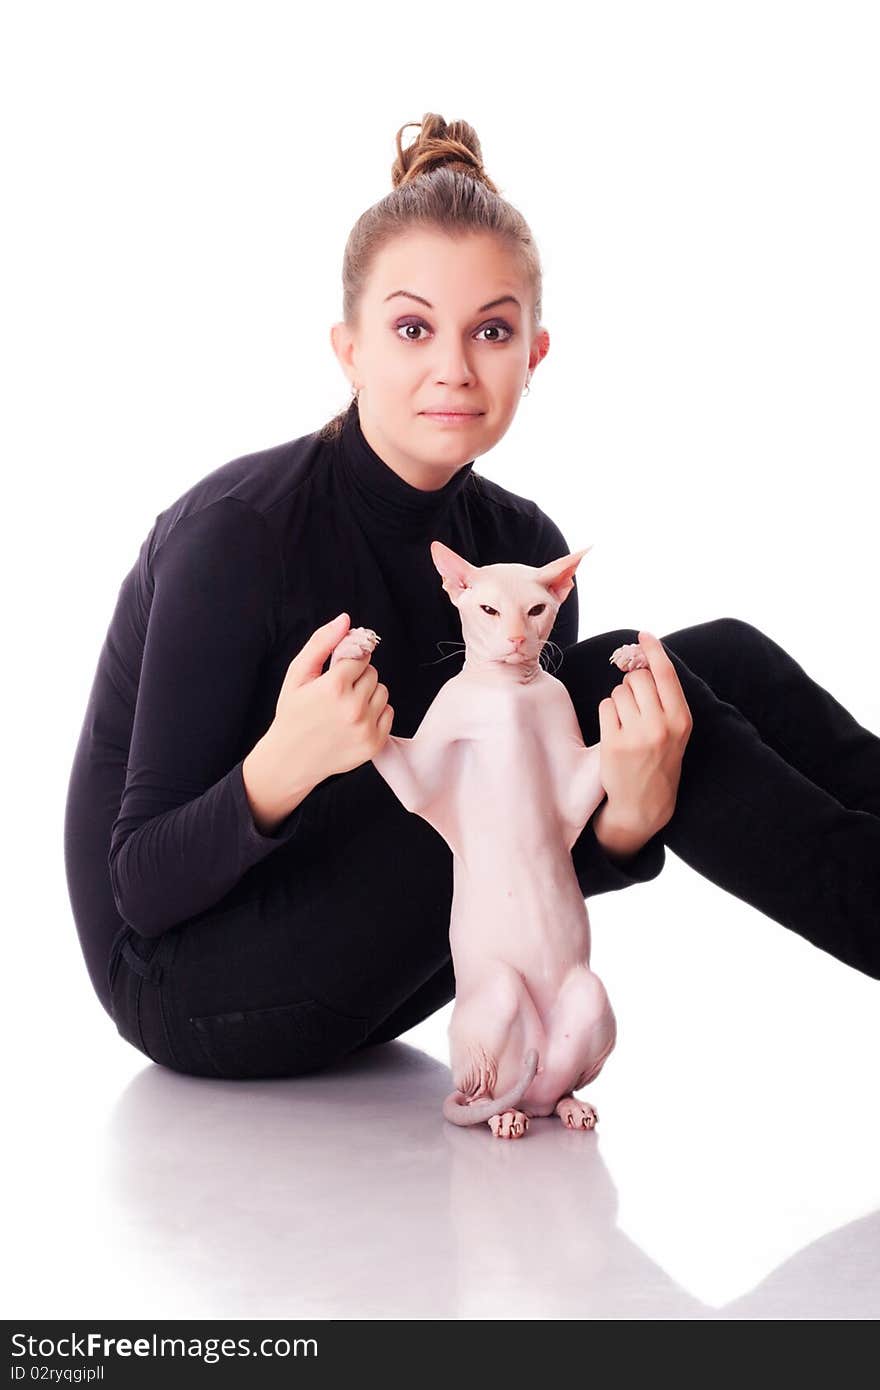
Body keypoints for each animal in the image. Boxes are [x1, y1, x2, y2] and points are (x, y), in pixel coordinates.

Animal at [328, 542, 645, 1139]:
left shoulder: (573, 781)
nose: (518, 639)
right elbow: (381, 741)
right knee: (481, 1091)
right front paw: (352, 650)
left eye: (536, 610)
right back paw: (503, 1116)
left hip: (589, 997)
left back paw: (568, 1107)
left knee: (553, 1086)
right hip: (498, 995)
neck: (507, 693)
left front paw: (638, 664)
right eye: (490, 611)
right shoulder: (421, 780)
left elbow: (608, 751)